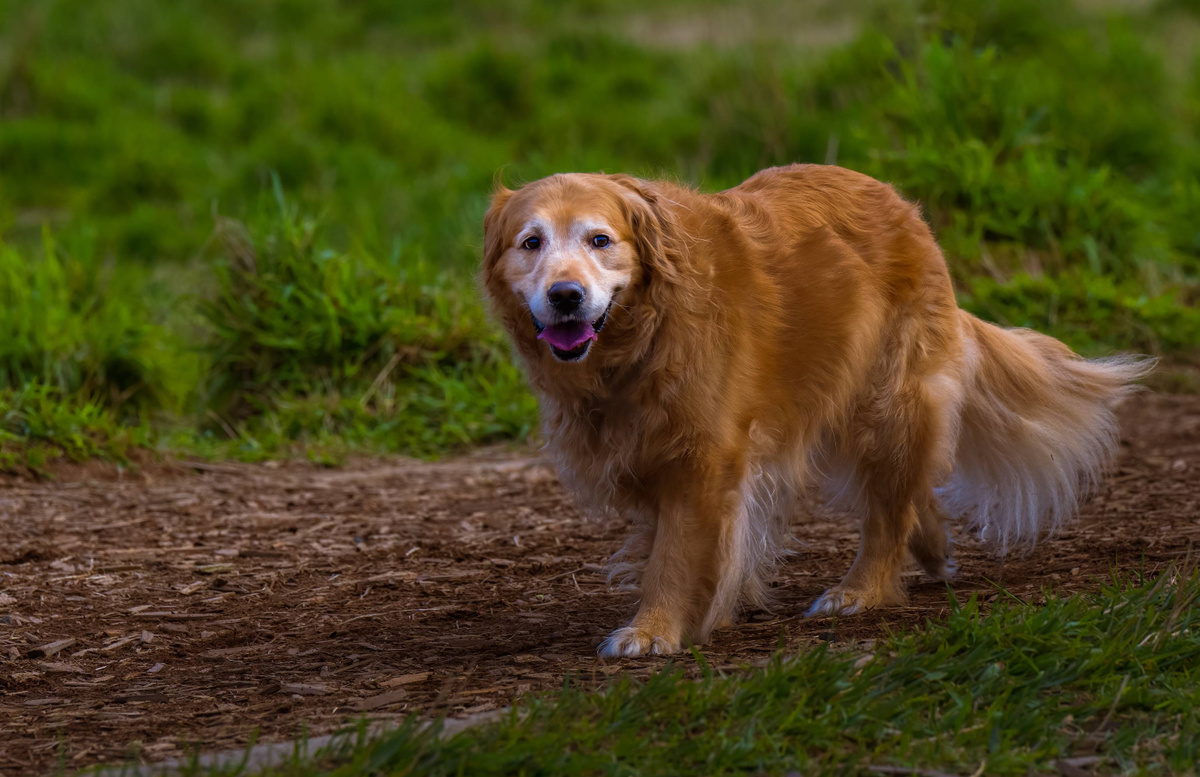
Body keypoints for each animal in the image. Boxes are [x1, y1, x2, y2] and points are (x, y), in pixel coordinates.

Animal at [480, 164, 1152, 657]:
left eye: (600, 240)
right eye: (531, 243)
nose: (566, 296)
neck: (645, 335)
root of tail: (902, 207)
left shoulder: (705, 458)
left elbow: (675, 554)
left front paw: (654, 630)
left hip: (887, 406)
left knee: (887, 516)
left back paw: (859, 591)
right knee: (908, 497)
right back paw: (933, 550)